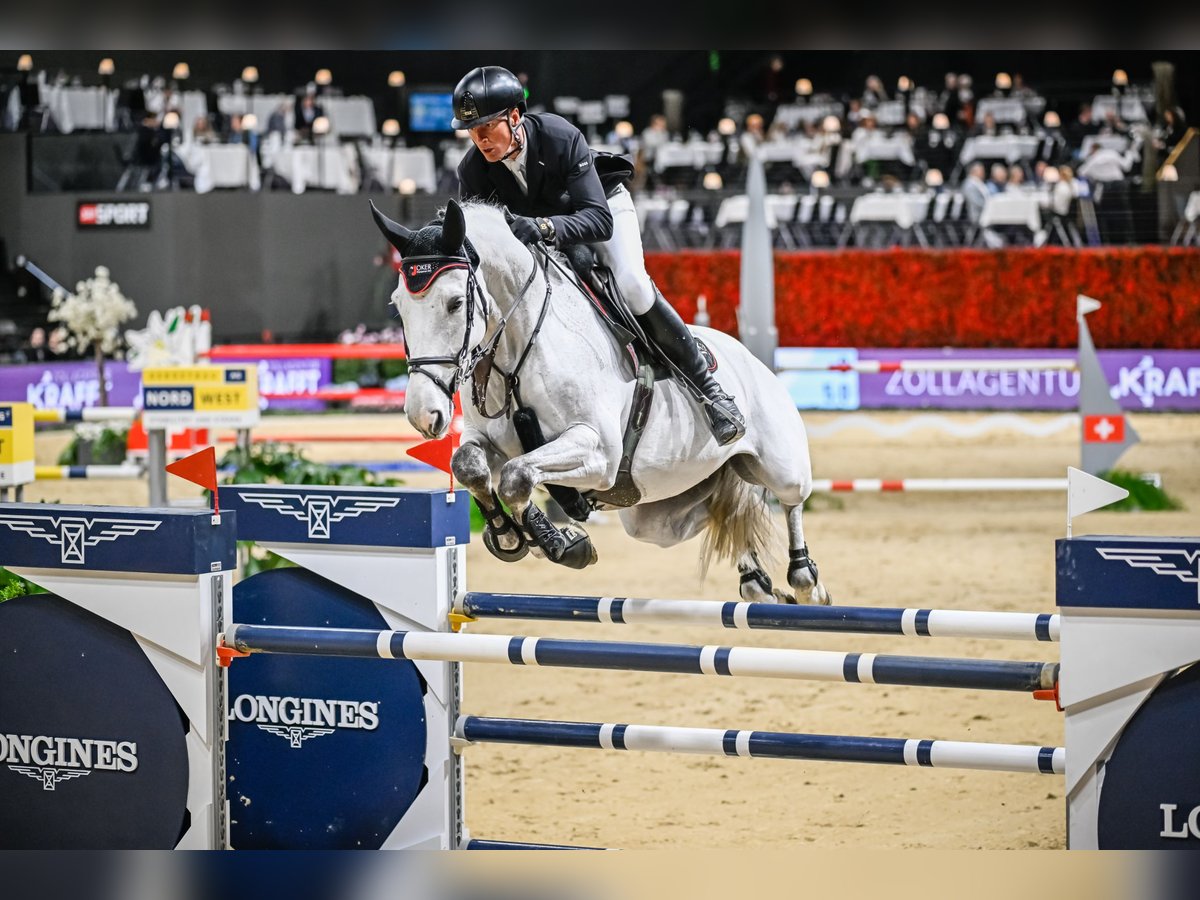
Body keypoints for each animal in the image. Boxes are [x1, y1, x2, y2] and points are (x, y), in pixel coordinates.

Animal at [371, 198, 830, 605]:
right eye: (397, 306)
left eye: (455, 303)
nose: (423, 414)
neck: (518, 347)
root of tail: (749, 356)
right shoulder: (491, 441)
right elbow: (470, 466)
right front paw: (512, 535)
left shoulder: (599, 451)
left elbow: (517, 477)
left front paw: (556, 541)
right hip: (656, 514)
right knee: (721, 513)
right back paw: (756, 581)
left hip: (779, 464)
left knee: (791, 500)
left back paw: (805, 581)